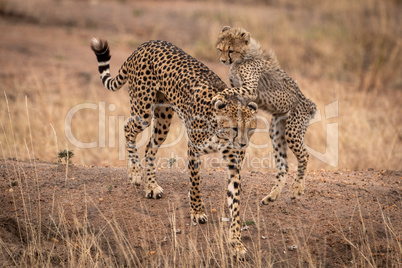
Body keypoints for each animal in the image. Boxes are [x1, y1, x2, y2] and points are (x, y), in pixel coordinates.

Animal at [91, 38, 258, 258]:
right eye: (234, 128)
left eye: (251, 128)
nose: (243, 144)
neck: (220, 134)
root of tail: (148, 43)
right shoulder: (194, 150)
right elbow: (195, 185)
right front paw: (197, 212)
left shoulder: (233, 165)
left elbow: (235, 204)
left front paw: (236, 243)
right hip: (143, 110)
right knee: (128, 128)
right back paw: (135, 172)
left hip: (163, 117)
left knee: (150, 148)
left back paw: (151, 186)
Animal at [215, 26, 316, 203]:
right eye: (220, 49)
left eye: (231, 50)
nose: (223, 61)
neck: (242, 58)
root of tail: (309, 103)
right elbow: (233, 94)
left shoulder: (250, 89)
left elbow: (228, 90)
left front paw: (218, 96)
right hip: (276, 132)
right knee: (283, 165)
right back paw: (272, 195)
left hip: (292, 131)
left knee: (305, 155)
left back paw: (297, 188)